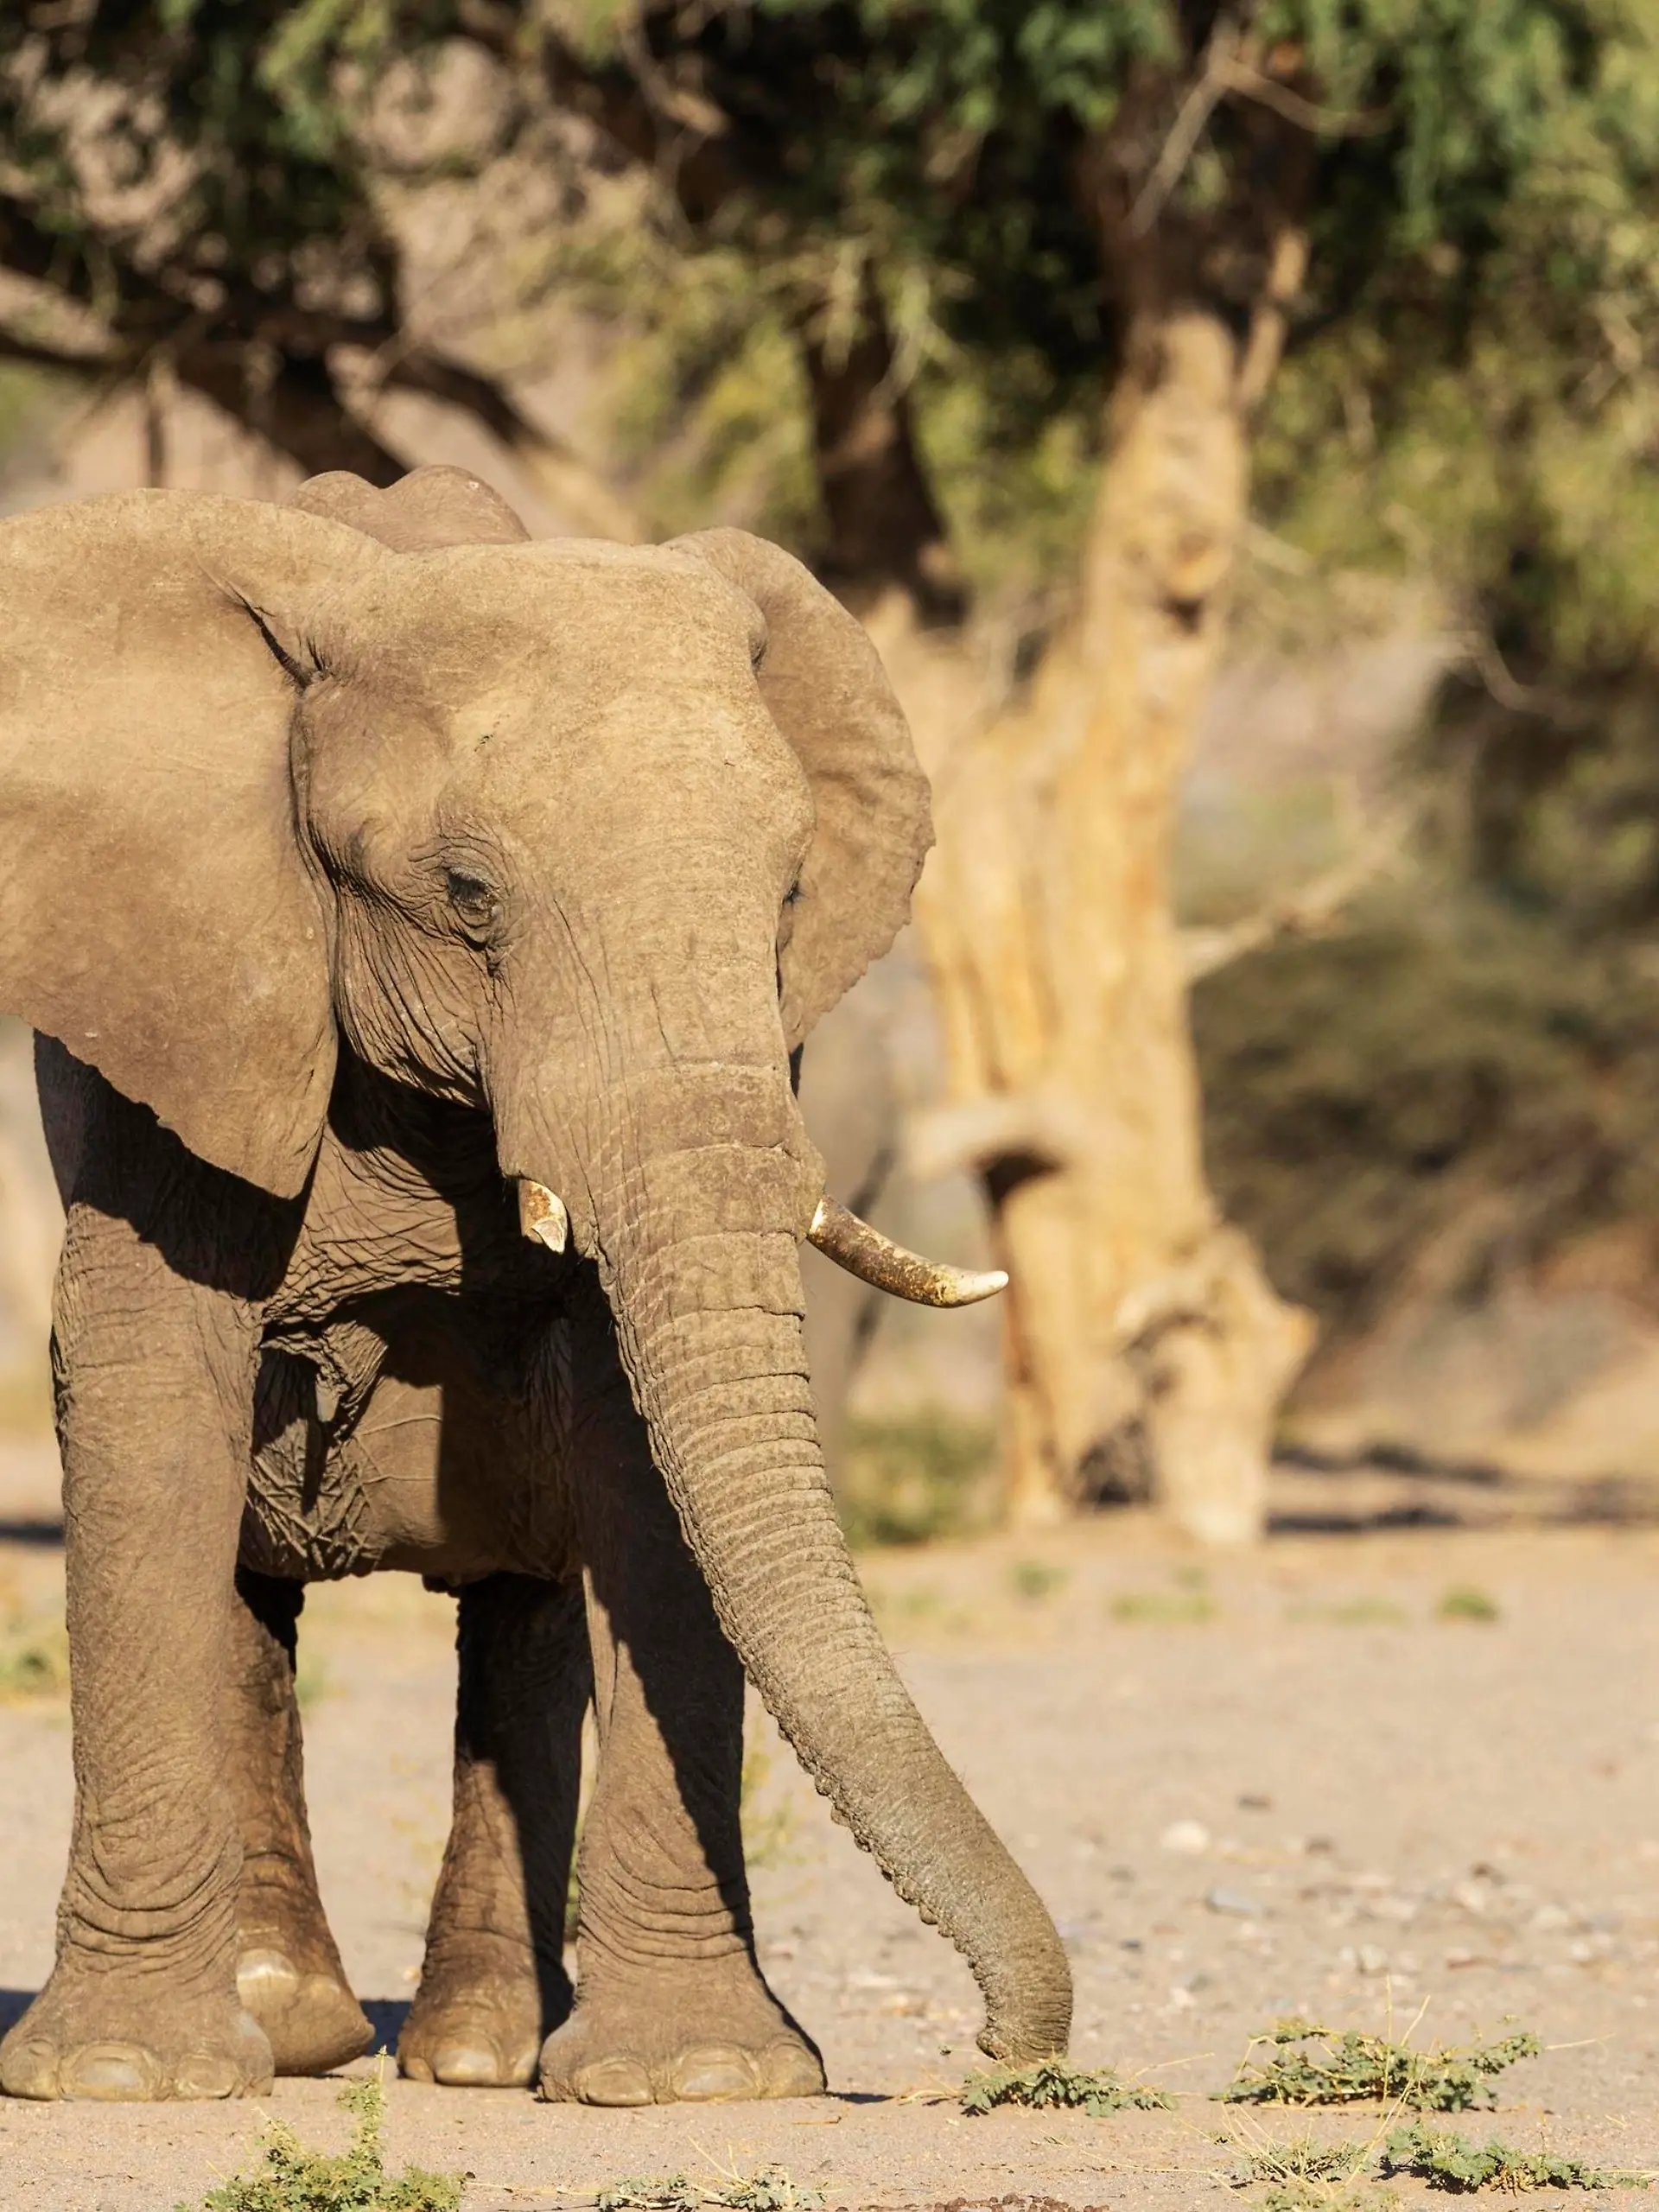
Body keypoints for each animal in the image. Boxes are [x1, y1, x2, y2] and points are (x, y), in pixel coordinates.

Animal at [0, 465, 1071, 2106]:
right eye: (465, 894)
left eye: (788, 897)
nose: (995, 2059)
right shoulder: (182, 1000)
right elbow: (148, 1393)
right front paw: (123, 2079)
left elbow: (643, 1461)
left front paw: (704, 2081)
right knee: (249, 1581)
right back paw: (295, 2028)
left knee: (526, 1585)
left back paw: (480, 2054)